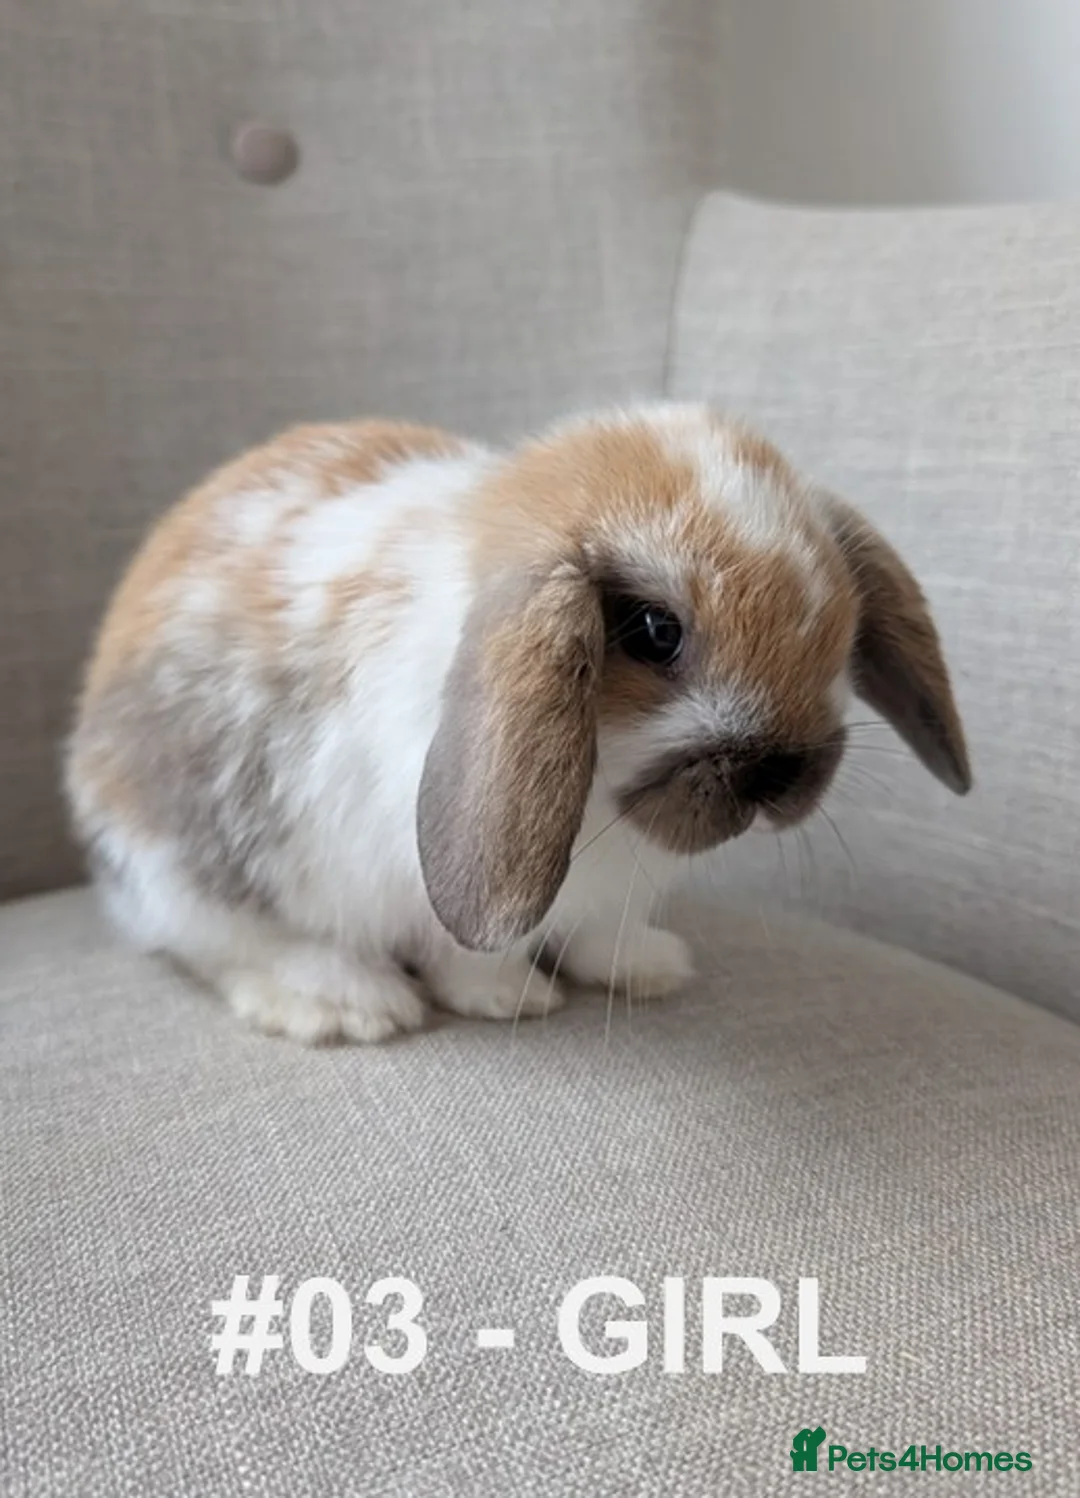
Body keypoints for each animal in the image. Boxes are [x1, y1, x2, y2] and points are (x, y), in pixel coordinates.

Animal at [66, 404, 971, 1044]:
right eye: (654, 631)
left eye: (840, 625)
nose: (781, 775)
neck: (601, 804)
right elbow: (467, 948)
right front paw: (509, 1000)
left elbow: (604, 930)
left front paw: (647, 969)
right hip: (192, 861)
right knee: (222, 941)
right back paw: (348, 1005)